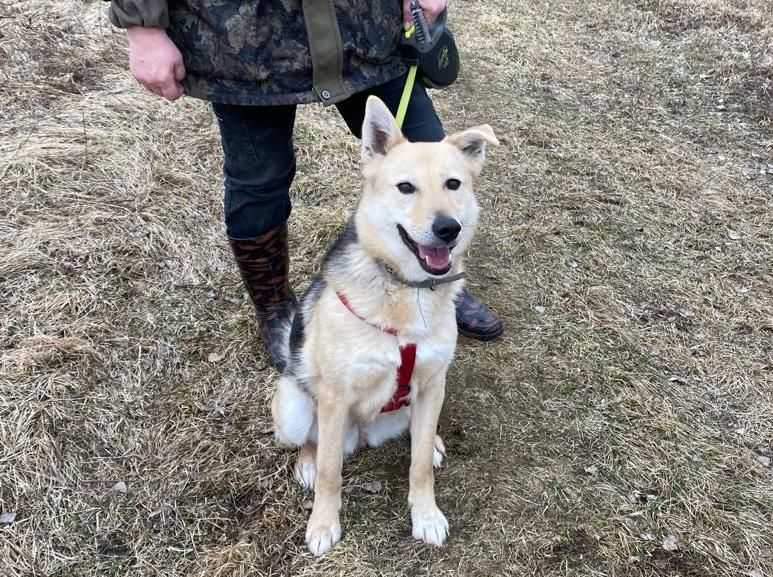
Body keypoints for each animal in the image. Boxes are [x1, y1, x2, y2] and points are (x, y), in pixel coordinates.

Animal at [272, 94, 500, 552]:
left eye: (454, 184)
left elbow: (419, 466)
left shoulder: (432, 383)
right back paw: (306, 463)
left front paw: (425, 515)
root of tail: (363, 433)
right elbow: (330, 473)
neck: (407, 289)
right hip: (293, 406)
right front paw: (322, 525)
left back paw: (432, 443)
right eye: (405, 188)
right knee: (310, 442)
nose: (448, 228)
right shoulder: (335, 396)